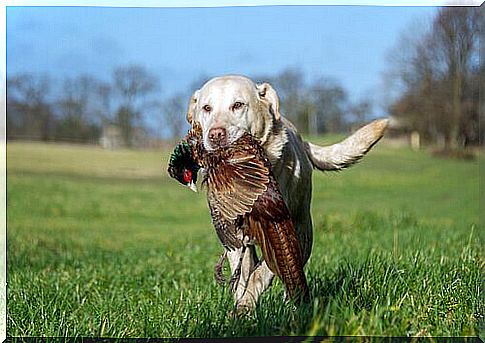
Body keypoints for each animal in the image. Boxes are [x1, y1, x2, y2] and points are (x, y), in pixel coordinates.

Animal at [185, 74, 386, 310]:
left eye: (238, 105)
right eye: (206, 108)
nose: (216, 134)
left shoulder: (281, 229)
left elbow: (264, 272)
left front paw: (246, 305)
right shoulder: (233, 235)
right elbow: (244, 272)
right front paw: (241, 302)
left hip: (303, 230)